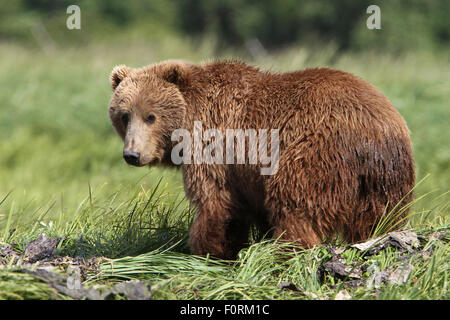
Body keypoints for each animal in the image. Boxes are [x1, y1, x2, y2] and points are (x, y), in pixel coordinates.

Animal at [108, 60, 414, 260]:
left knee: (294, 203)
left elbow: (215, 203)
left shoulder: (214, 145)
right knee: (380, 220)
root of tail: (376, 131)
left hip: (313, 151)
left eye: (151, 116)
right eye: (124, 115)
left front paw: (210, 250)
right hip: (383, 182)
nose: (132, 154)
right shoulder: (246, 175)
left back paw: (286, 251)